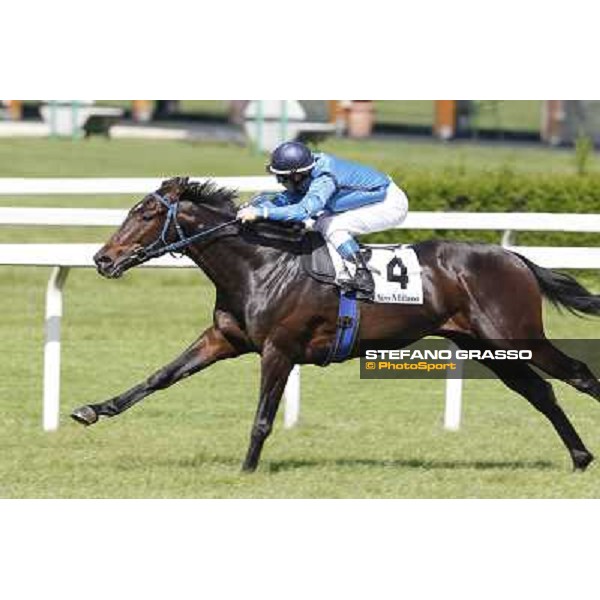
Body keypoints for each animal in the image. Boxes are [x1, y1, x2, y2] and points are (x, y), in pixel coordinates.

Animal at [71, 176, 600, 472]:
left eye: (147, 213)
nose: (102, 259)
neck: (261, 263)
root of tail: (514, 257)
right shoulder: (224, 338)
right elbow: (159, 377)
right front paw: (94, 409)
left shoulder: (279, 349)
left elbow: (263, 417)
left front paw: (247, 470)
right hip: (486, 346)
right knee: (541, 392)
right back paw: (579, 458)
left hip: (514, 334)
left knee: (577, 374)